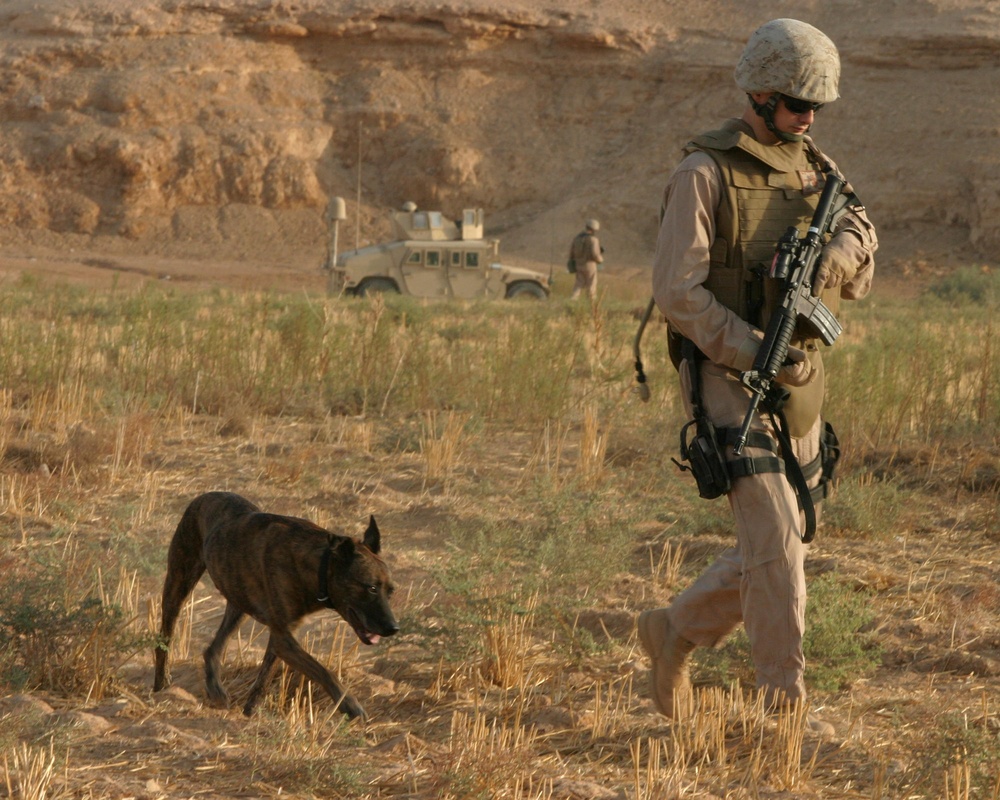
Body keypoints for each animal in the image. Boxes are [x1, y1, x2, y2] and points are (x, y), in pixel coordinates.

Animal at [152, 490, 398, 720]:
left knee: (213, 648)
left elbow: (264, 677)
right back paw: (161, 687)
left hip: (238, 604)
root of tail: (205, 496)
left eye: (391, 591)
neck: (317, 566)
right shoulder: (284, 639)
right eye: (371, 588)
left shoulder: (281, 636)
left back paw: (215, 689)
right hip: (178, 586)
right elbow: (322, 670)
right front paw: (350, 705)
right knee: (164, 640)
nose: (393, 628)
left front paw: (250, 712)